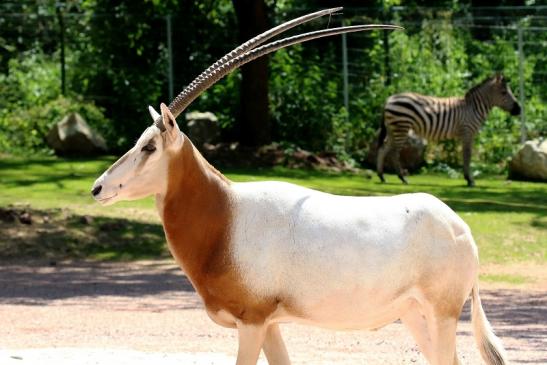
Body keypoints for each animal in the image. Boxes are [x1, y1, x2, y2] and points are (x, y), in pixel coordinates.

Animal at [376, 75, 524, 186]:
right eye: (504, 93)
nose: (519, 109)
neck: (473, 108)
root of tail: (389, 99)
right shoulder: (467, 132)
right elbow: (467, 155)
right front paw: (469, 180)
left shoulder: (466, 134)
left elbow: (465, 155)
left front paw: (468, 178)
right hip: (401, 127)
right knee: (394, 152)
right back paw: (402, 178)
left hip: (393, 128)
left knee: (383, 149)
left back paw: (382, 176)